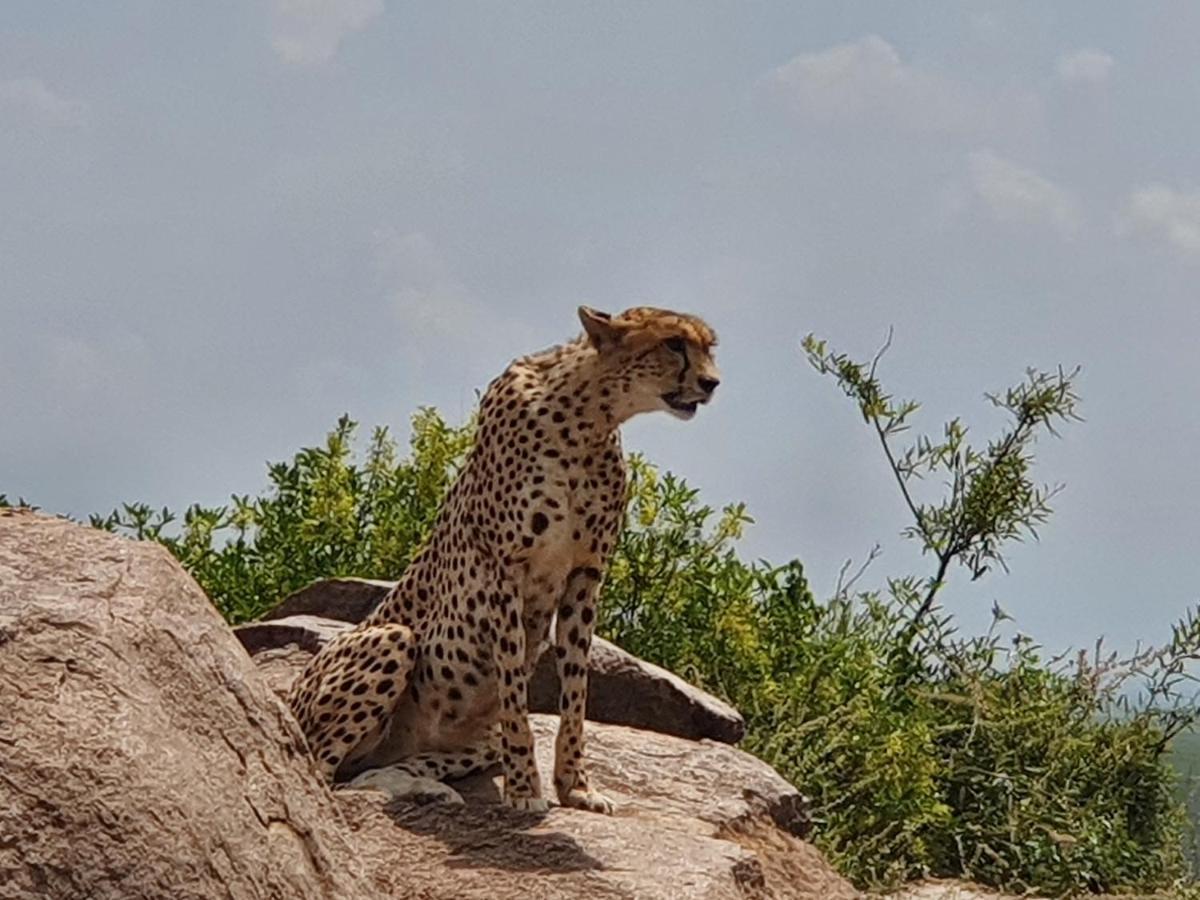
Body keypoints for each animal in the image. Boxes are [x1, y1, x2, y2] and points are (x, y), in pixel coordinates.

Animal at [288, 307, 720, 816]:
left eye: (709, 346)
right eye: (674, 343)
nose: (712, 382)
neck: (588, 416)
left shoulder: (585, 575)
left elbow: (576, 691)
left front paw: (575, 786)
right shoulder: (505, 570)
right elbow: (514, 690)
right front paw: (524, 790)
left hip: (461, 739)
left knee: (369, 771)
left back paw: (417, 783)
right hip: (391, 640)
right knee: (320, 773)